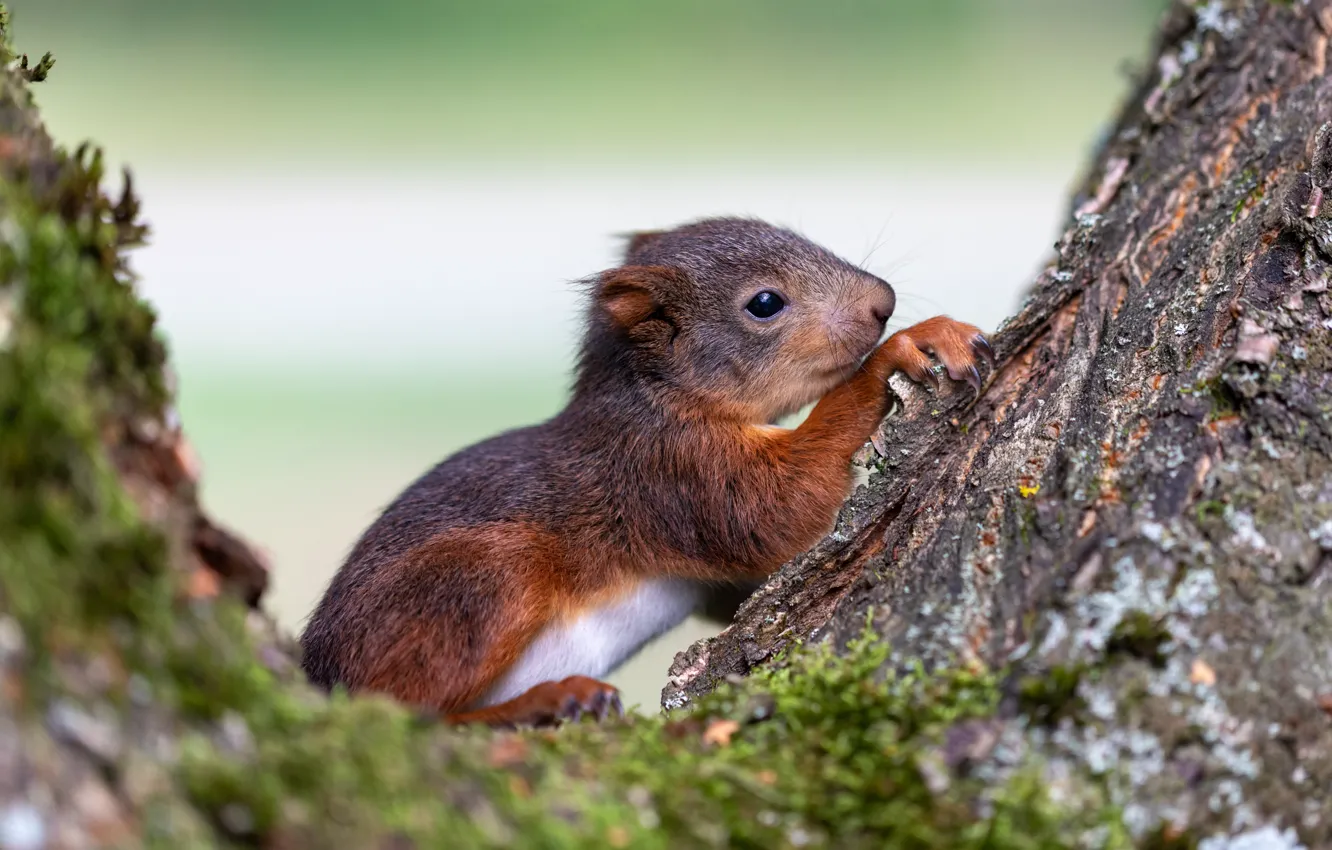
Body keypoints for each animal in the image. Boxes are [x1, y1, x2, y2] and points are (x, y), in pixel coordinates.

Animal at [299, 217, 990, 727]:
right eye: (765, 303)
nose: (884, 302)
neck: (659, 398)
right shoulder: (665, 471)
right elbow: (772, 514)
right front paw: (911, 343)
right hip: (483, 575)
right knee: (405, 713)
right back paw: (543, 704)